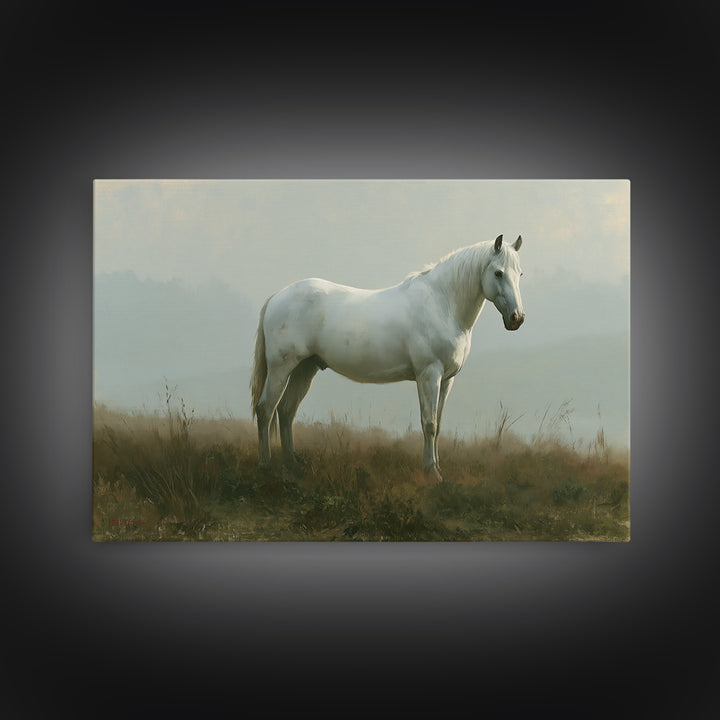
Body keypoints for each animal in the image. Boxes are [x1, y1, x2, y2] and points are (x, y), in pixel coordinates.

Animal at [250, 233, 525, 480]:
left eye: (520, 274)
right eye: (498, 273)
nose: (517, 318)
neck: (442, 304)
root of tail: (276, 298)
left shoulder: (447, 379)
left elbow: (438, 423)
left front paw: (437, 467)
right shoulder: (429, 374)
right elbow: (429, 424)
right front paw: (431, 472)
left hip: (304, 369)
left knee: (286, 411)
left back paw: (292, 463)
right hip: (280, 368)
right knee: (265, 409)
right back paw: (265, 465)